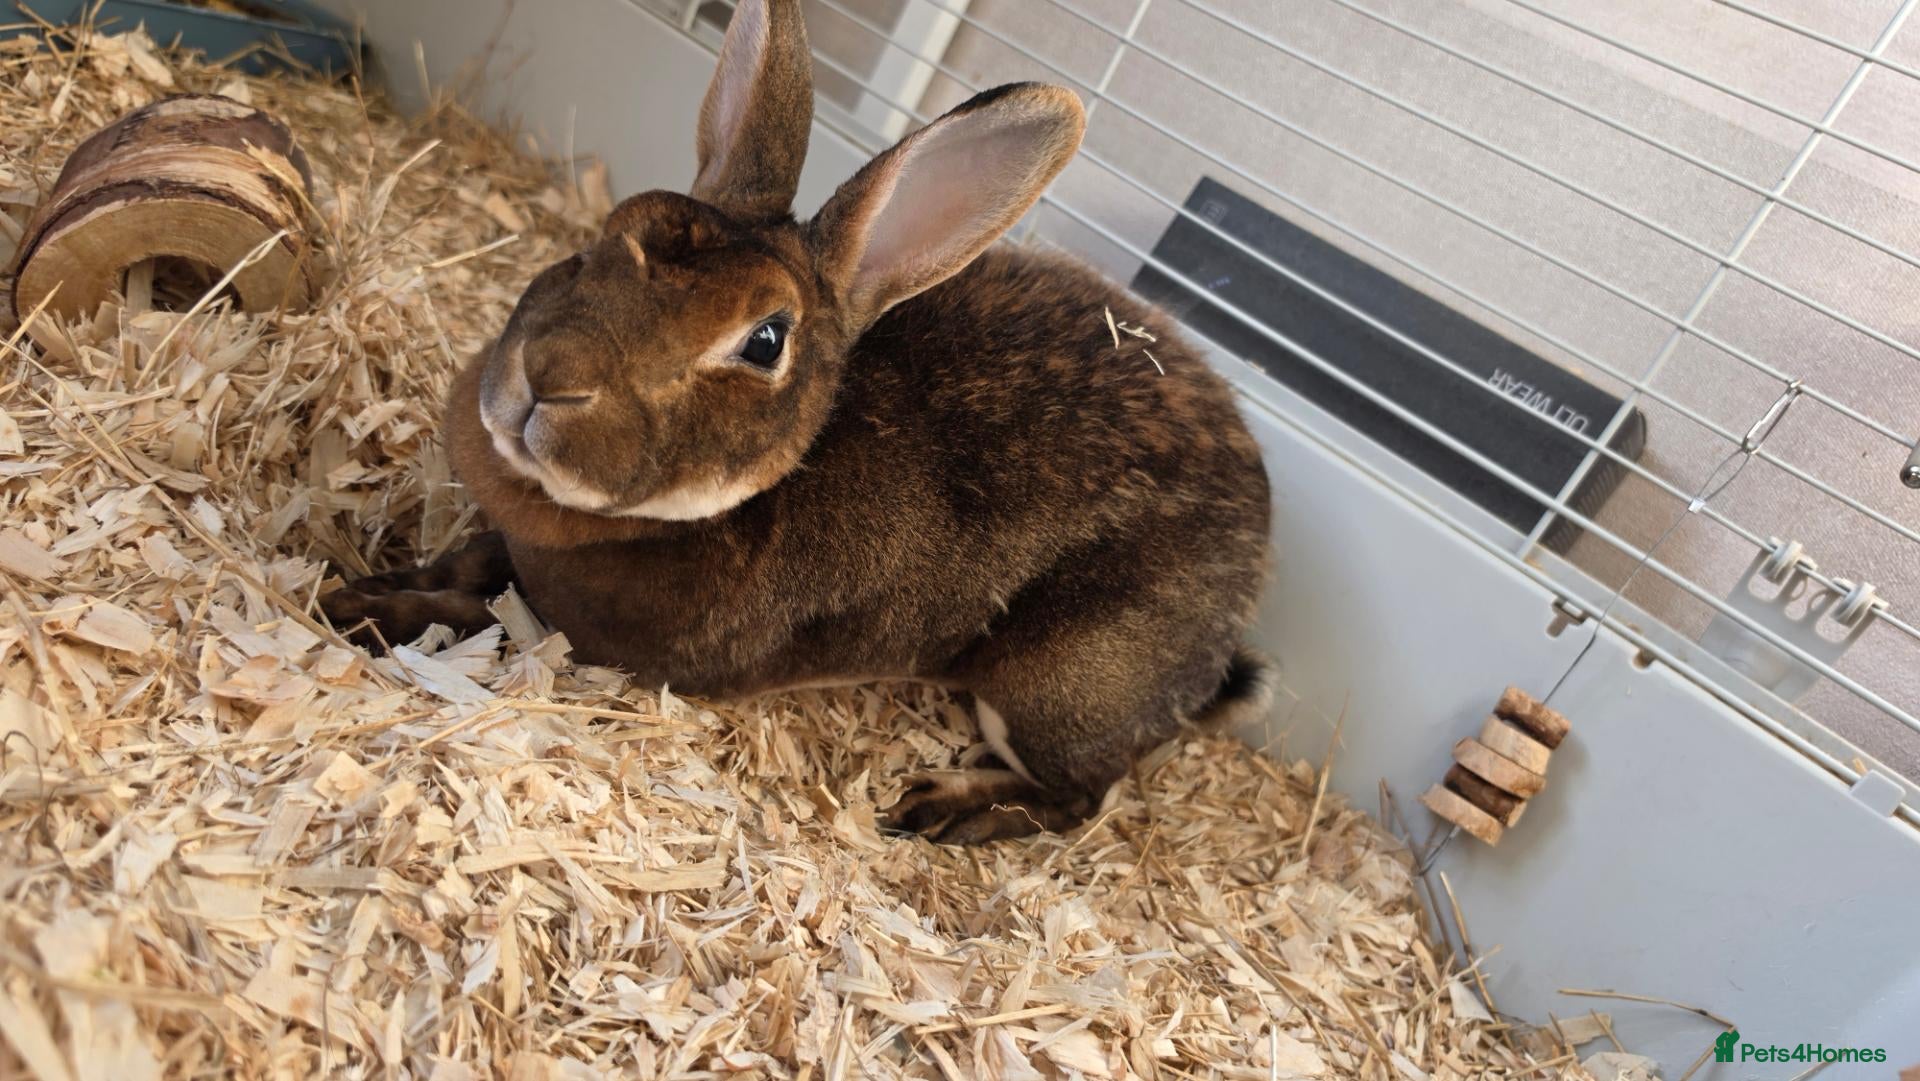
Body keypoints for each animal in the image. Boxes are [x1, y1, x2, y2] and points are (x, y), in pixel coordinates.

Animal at [322, 0, 1274, 844]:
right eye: (607, 234)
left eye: (766, 339)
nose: (549, 374)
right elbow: (464, 566)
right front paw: (358, 578)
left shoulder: (586, 642)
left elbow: (472, 622)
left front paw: (358, 611)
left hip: (1055, 687)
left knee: (1083, 795)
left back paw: (947, 810)